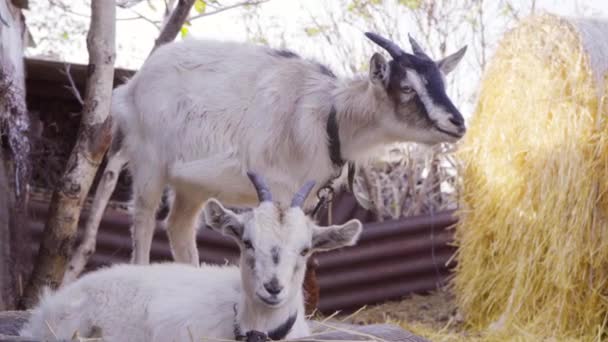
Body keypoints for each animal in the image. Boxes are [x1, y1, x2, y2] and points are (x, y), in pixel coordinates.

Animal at [70, 32, 466, 268]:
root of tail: (131, 86)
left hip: (192, 183)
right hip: (149, 161)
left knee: (178, 226)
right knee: (143, 219)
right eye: (406, 87)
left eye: (441, 81)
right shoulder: (276, 189)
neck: (327, 114)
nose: (457, 123)